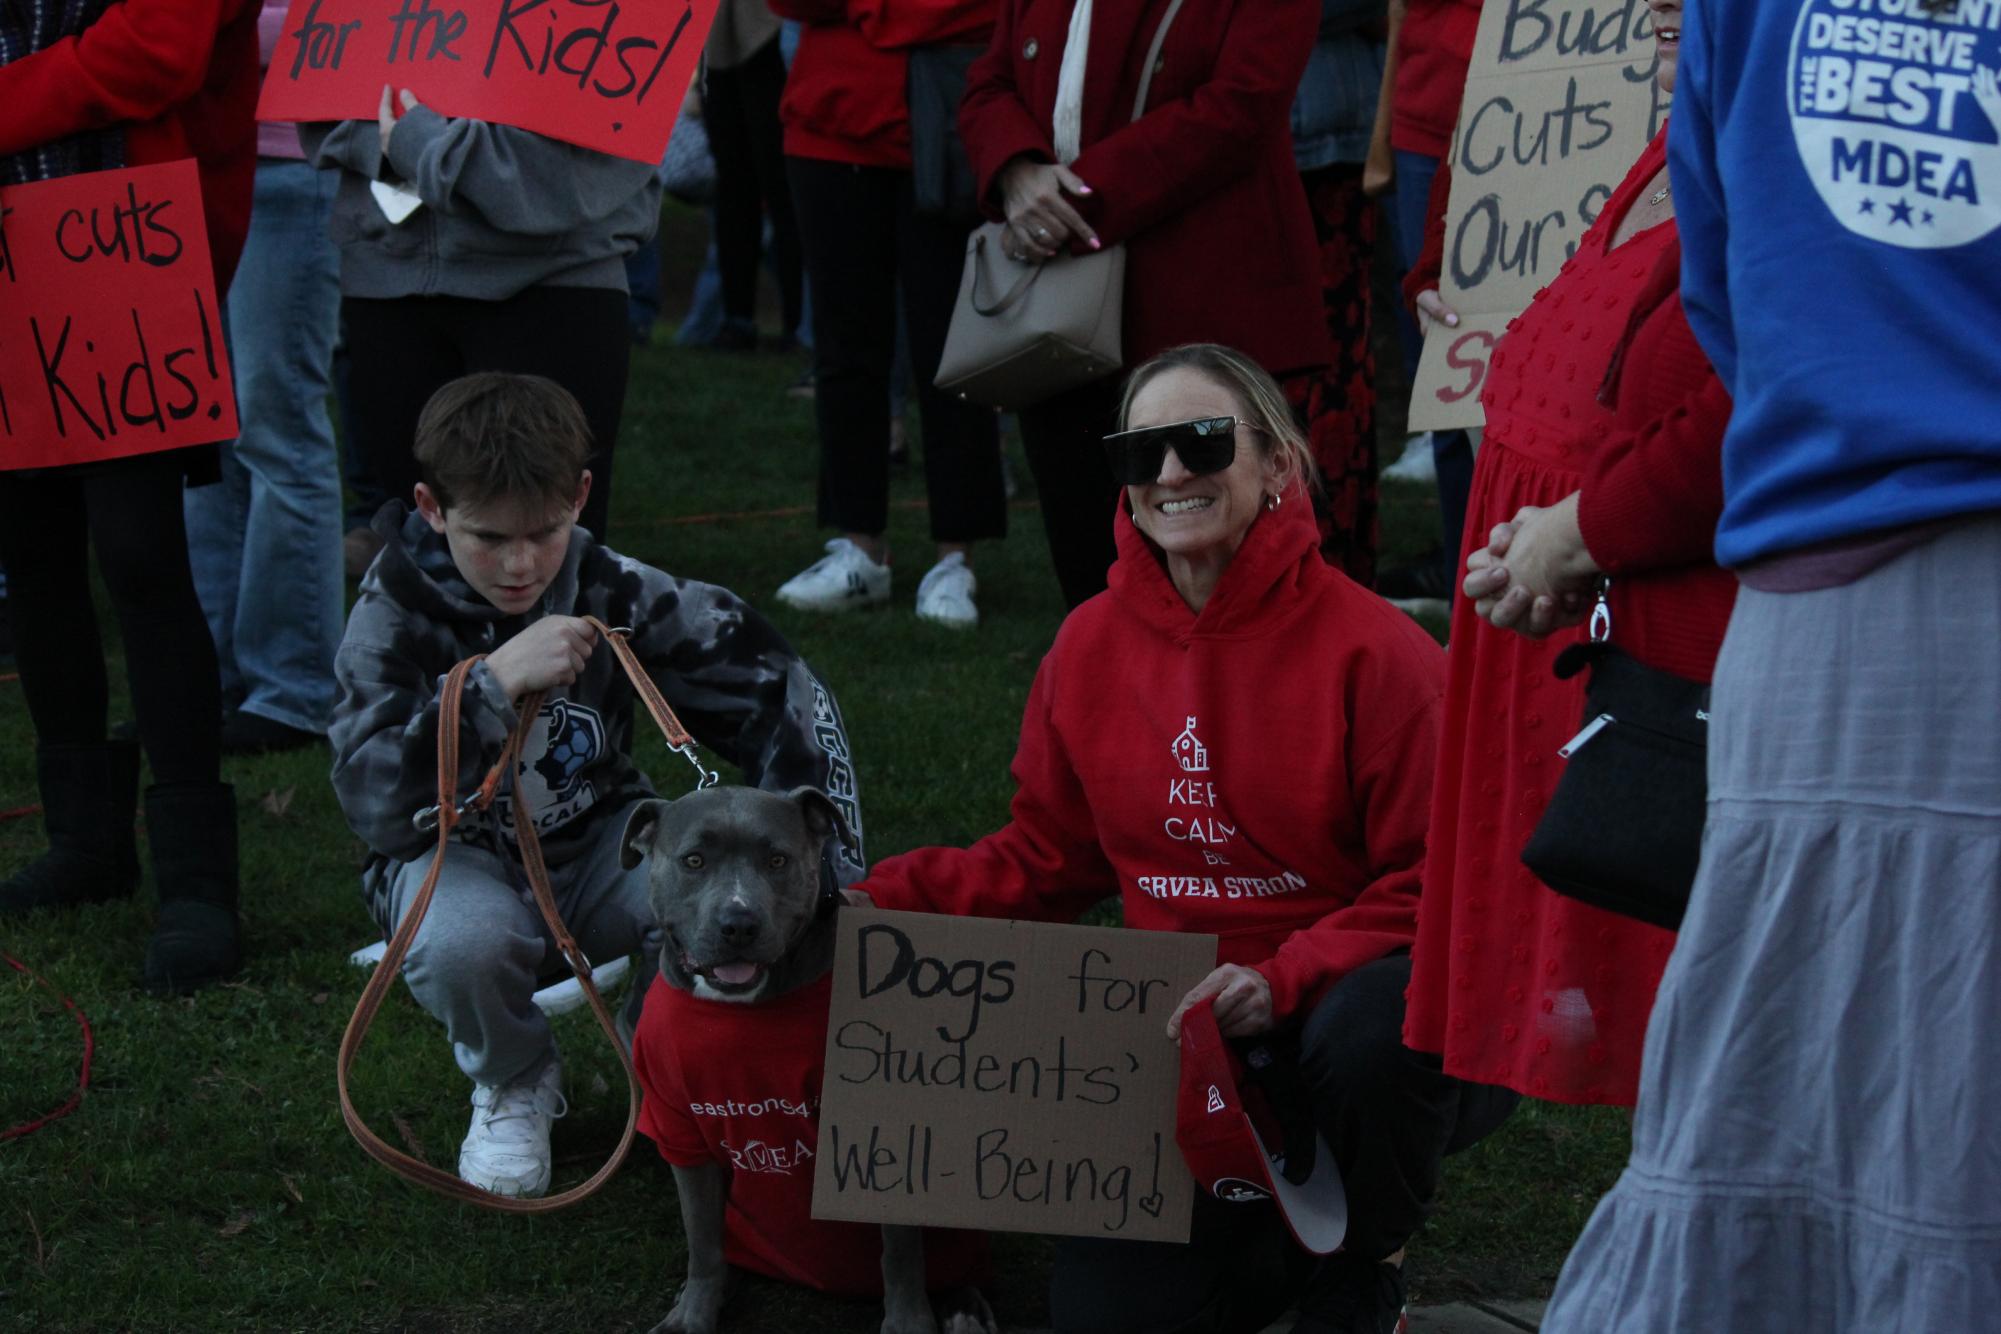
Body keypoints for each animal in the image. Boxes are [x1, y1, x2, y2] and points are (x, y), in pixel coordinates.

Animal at [620, 788, 996, 1334]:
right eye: (693, 860)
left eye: (777, 860)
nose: (739, 924)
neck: (746, 1005)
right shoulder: (679, 1129)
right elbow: (702, 1239)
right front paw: (692, 1315)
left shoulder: (879, 1136)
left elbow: (901, 1252)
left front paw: (908, 1321)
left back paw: (964, 1307)